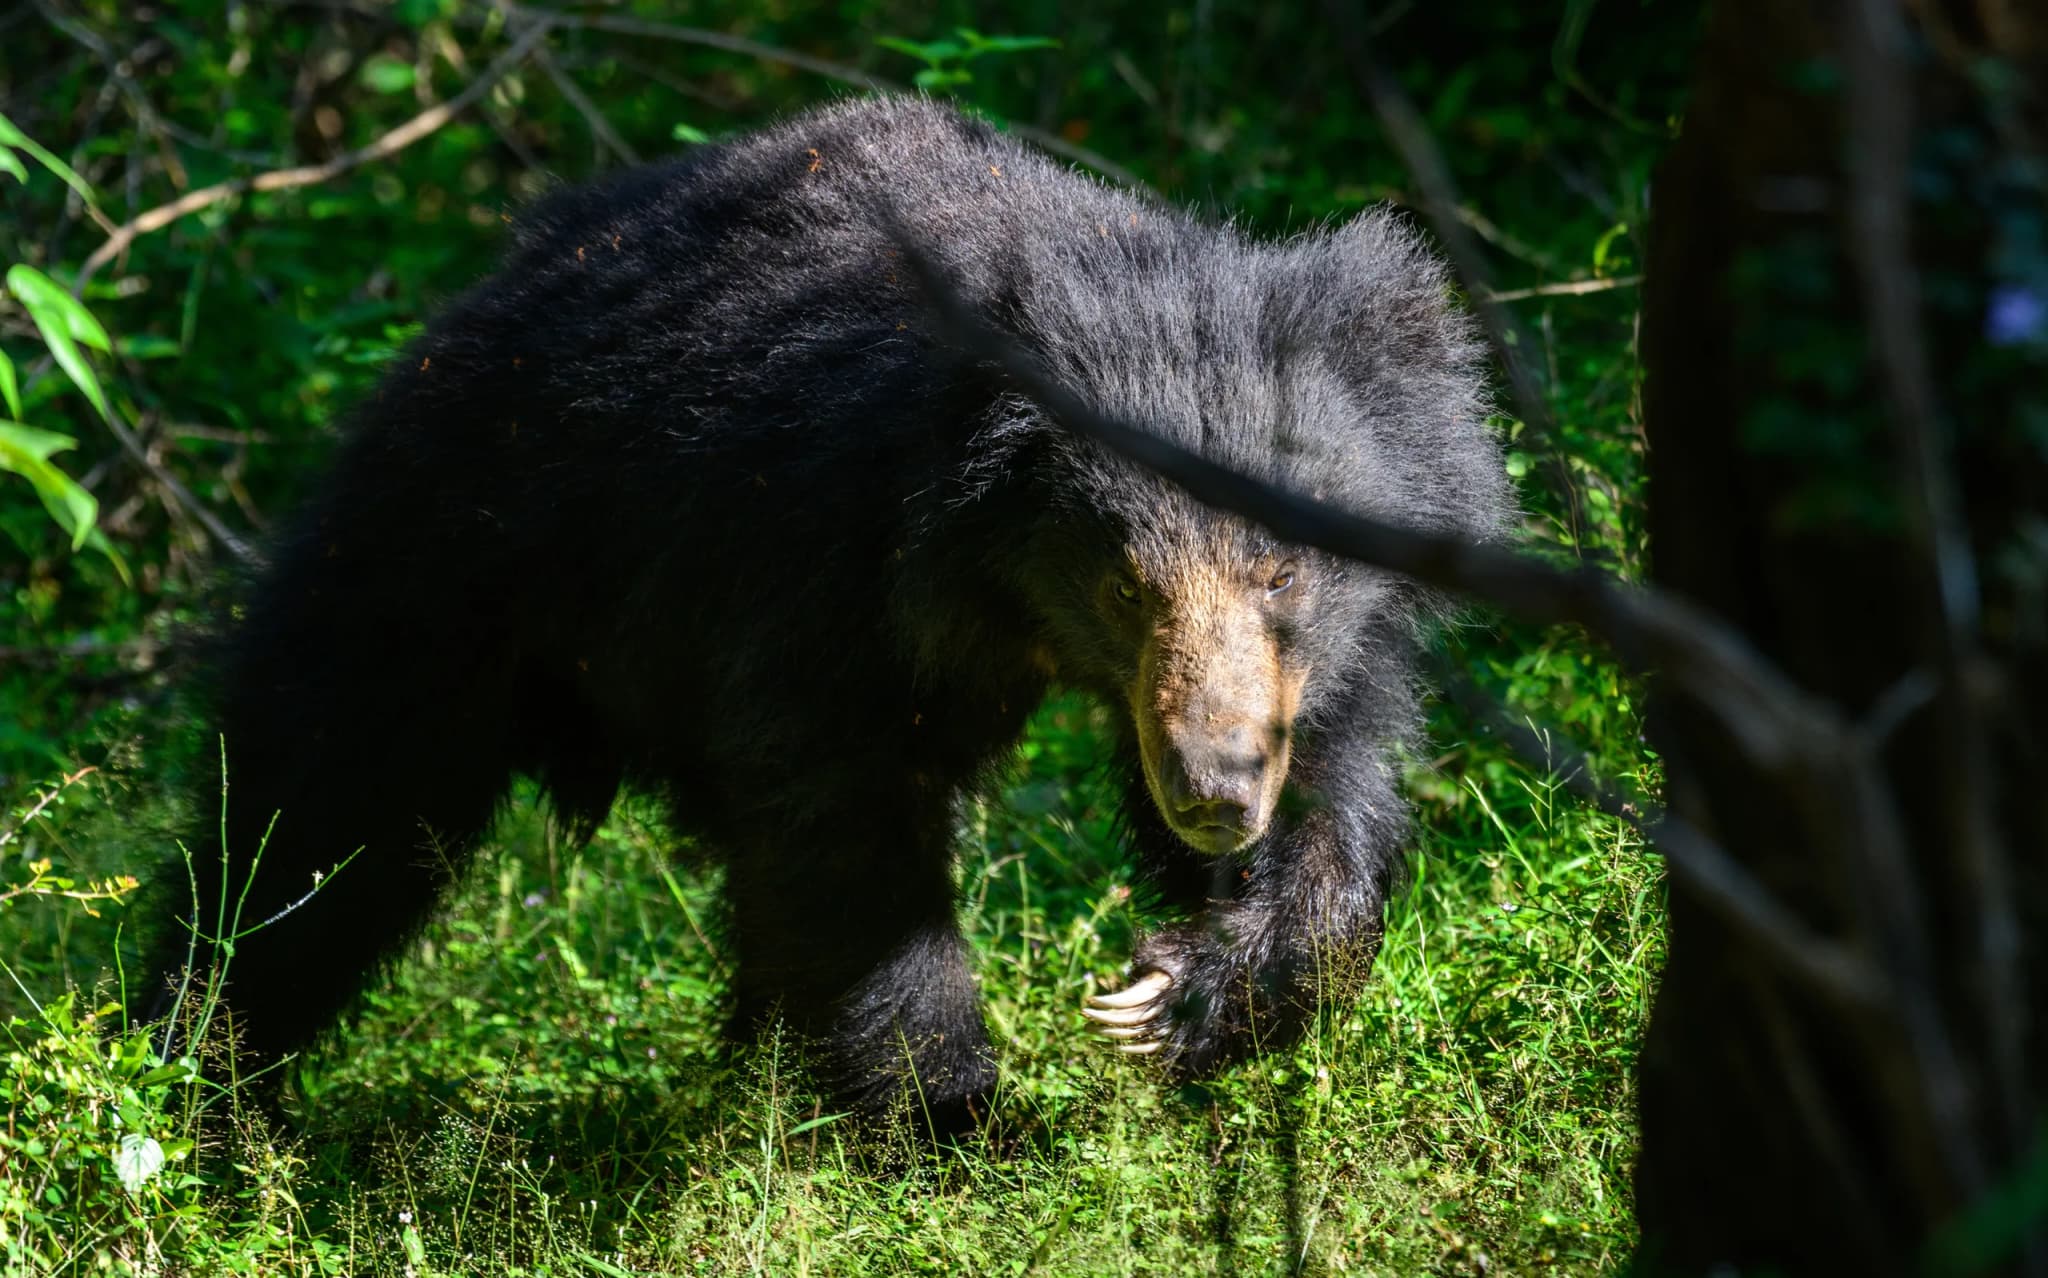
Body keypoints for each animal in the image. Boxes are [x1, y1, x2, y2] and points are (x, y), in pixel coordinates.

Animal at [141, 95, 1506, 1134]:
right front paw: (958, 1130)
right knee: (315, 819)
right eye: (1123, 584)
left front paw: (1179, 991)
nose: (1213, 798)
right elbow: (846, 840)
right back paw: (197, 1093)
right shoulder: (817, 561)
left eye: (1280, 574)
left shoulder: (1307, 659)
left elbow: (1332, 785)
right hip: (444, 557)